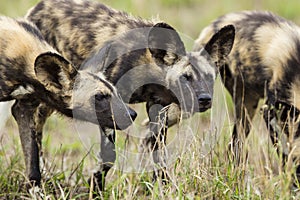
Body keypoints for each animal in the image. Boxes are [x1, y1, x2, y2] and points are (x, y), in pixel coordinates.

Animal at [26, 0, 234, 191]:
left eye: (209, 77)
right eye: (186, 78)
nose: (205, 99)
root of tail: (39, 6)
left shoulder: (158, 108)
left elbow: (159, 153)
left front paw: (161, 187)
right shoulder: (107, 106)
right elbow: (109, 156)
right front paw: (96, 187)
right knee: (35, 131)